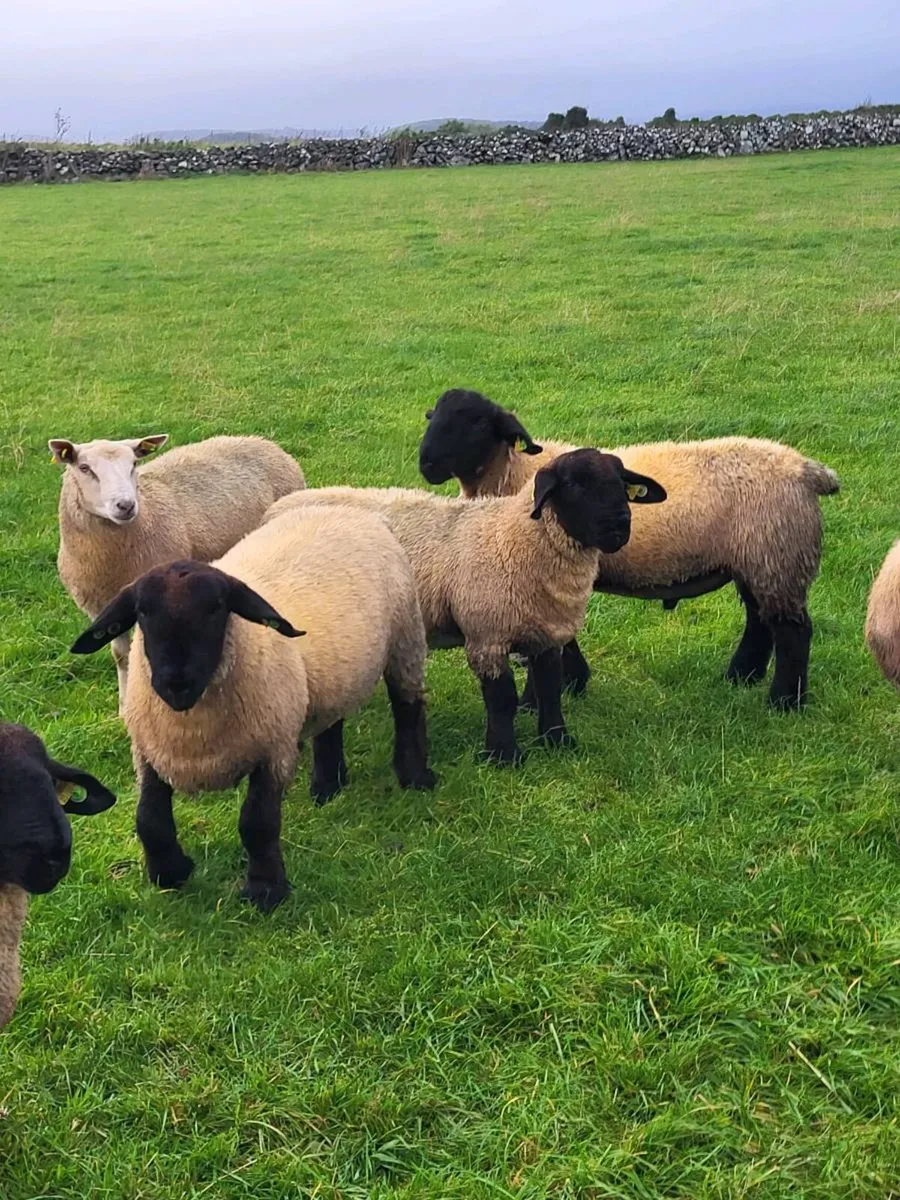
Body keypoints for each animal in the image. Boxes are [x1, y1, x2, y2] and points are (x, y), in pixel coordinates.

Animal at [50, 434, 305, 712]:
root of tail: (261, 441)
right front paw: (123, 707)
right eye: (84, 468)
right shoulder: (100, 608)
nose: (126, 505)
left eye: (134, 464)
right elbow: (120, 656)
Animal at [71, 505, 437, 913]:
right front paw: (170, 873)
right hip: (330, 674)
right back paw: (327, 787)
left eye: (216, 608)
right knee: (330, 722)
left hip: (405, 636)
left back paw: (414, 777)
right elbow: (148, 818)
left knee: (408, 707)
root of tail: (343, 508)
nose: (175, 682)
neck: (192, 727)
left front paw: (265, 891)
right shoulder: (149, 752)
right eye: (142, 612)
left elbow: (257, 824)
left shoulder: (273, 750)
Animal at [265, 448, 667, 766]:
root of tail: (279, 508)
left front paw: (557, 741)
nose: (621, 525)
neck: (515, 538)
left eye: (623, 485)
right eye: (576, 485)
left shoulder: (546, 634)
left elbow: (550, 690)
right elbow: (501, 700)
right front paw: (504, 757)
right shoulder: (486, 636)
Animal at [417, 388, 841, 711]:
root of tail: (807, 470)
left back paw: (784, 702)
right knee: (760, 621)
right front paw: (574, 683)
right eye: (432, 417)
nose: (426, 463)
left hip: (779, 555)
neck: (513, 474)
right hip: (759, 560)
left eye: (476, 423)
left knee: (793, 632)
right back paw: (740, 676)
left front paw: (542, 698)